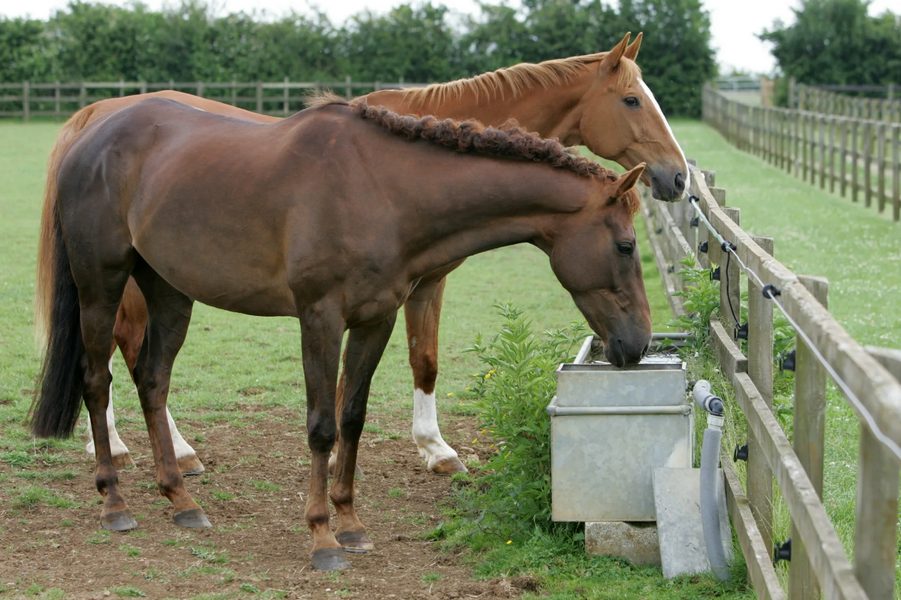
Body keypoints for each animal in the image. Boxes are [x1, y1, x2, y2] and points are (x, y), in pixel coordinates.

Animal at [31, 95, 651, 571]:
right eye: (626, 245)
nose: (638, 344)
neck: (382, 191)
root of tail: (89, 134)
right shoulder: (320, 318)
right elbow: (321, 427)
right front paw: (322, 536)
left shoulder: (375, 320)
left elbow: (352, 417)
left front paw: (350, 523)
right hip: (101, 284)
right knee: (97, 380)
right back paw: (114, 503)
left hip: (168, 292)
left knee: (153, 380)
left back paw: (181, 500)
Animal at [35, 32, 686, 476]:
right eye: (632, 99)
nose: (677, 177)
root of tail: (95, 116)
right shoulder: (421, 284)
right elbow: (415, 363)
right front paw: (431, 450)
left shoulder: (413, 287)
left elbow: (419, 362)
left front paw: (428, 449)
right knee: (122, 347)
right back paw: (153, 446)